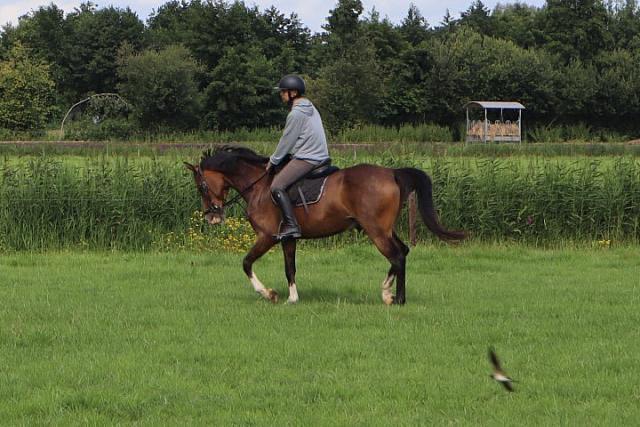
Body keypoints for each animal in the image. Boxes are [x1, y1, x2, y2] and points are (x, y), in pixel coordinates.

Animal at [184, 146, 465, 305]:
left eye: (201, 186)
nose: (211, 217)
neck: (260, 186)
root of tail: (391, 172)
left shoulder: (268, 236)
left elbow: (246, 263)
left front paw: (269, 294)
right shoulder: (288, 239)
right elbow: (290, 269)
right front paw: (293, 298)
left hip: (376, 231)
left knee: (397, 256)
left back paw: (396, 298)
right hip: (384, 229)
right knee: (403, 252)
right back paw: (389, 294)